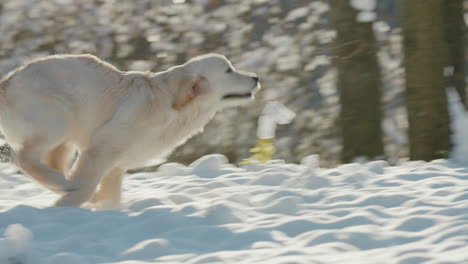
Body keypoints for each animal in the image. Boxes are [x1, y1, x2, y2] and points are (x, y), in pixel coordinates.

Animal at [0, 54, 260, 208]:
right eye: (228, 71)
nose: (256, 77)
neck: (170, 104)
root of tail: (7, 81)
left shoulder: (117, 165)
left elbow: (110, 196)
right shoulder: (101, 150)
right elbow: (86, 186)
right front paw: (67, 206)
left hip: (66, 140)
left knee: (48, 163)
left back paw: (62, 183)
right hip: (59, 119)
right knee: (24, 158)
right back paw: (63, 185)